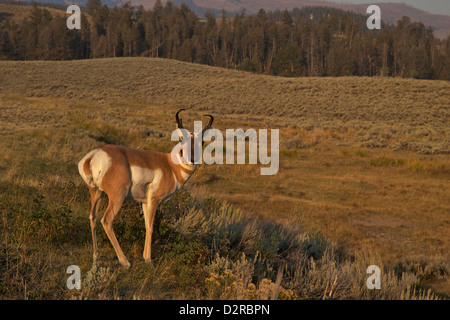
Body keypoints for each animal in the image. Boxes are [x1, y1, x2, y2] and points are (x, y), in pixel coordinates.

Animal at [78, 110, 214, 268]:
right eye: (182, 140)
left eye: (202, 142)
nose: (191, 159)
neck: (170, 165)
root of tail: (94, 155)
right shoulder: (154, 200)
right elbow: (150, 226)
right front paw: (148, 260)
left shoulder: (144, 202)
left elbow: (145, 225)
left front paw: (144, 256)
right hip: (117, 197)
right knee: (106, 220)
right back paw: (125, 262)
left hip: (96, 193)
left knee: (92, 218)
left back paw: (96, 258)